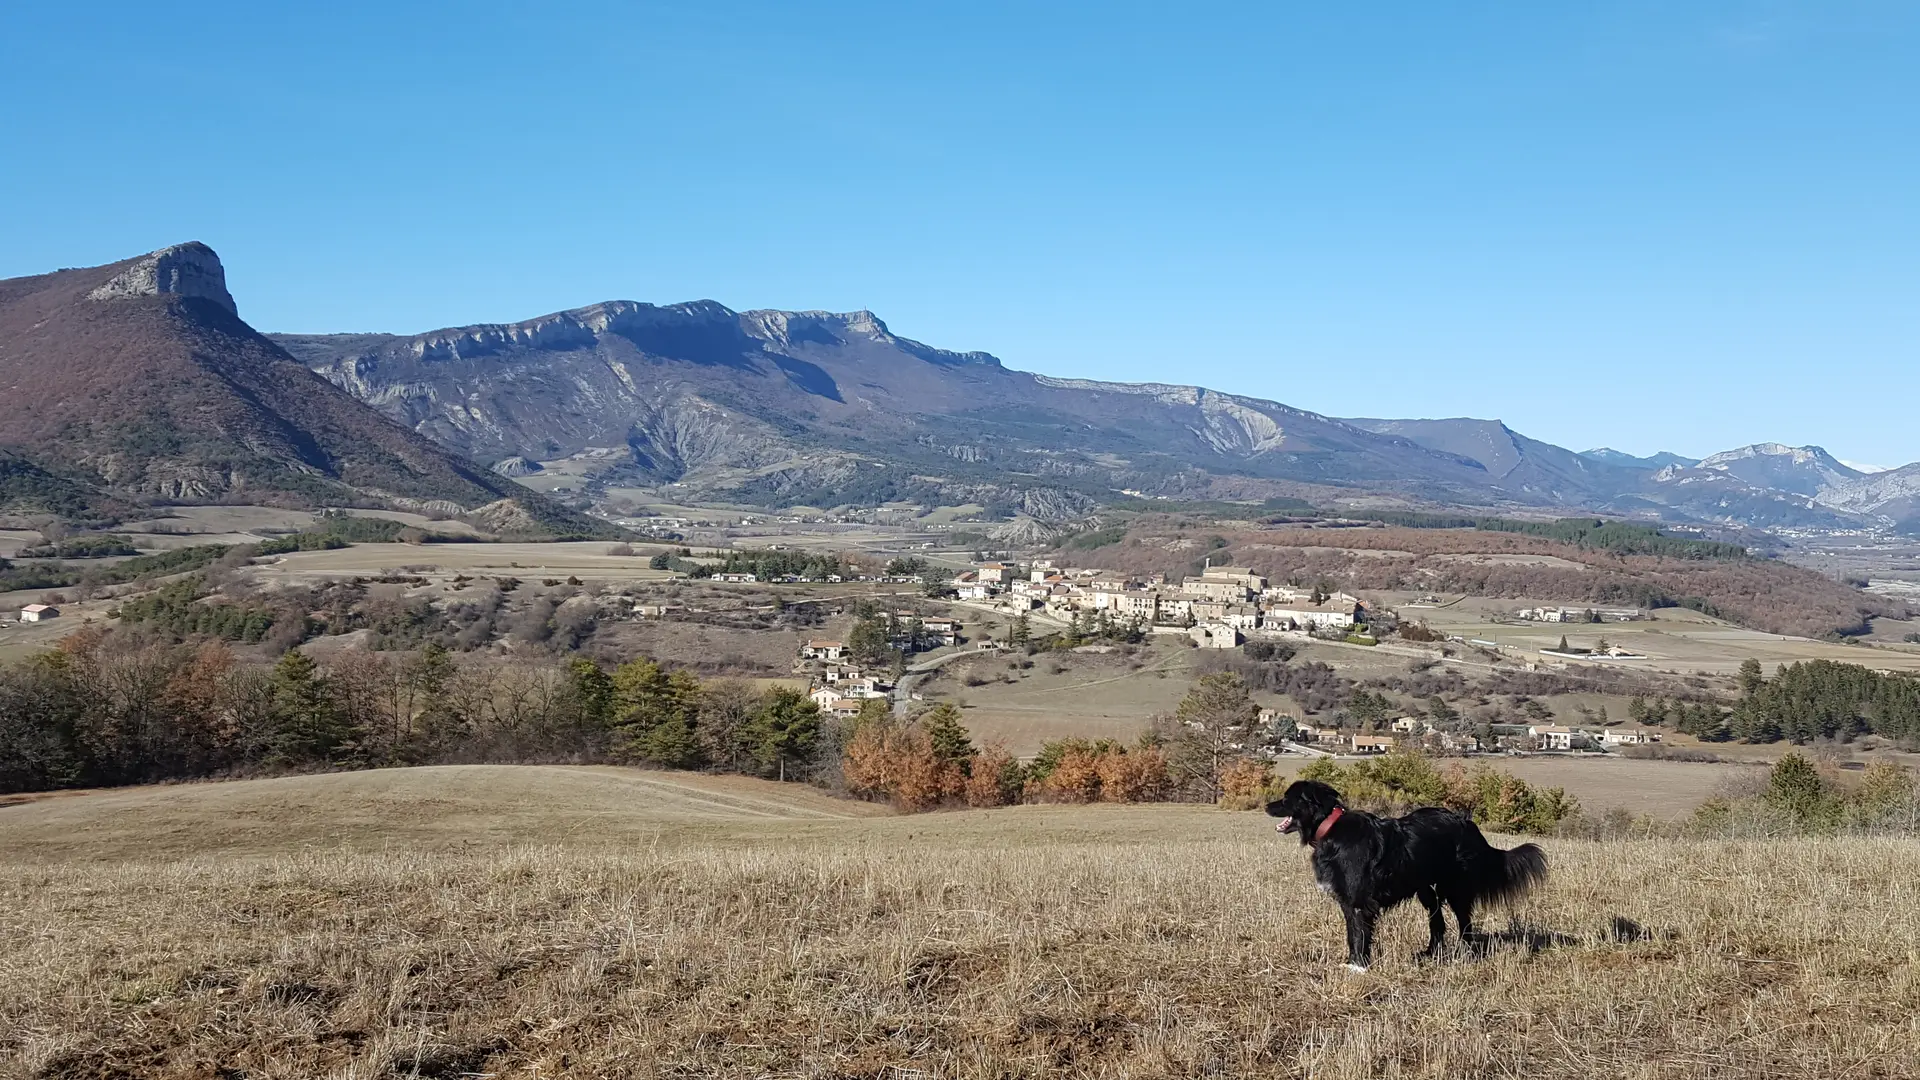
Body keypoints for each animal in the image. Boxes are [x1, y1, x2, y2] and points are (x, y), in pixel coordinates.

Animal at [1267, 772, 1551, 968]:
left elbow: (1359, 934)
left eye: (1286, 799)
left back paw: (1467, 953)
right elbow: (1351, 934)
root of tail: (1467, 823)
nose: (1267, 805)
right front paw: (1351, 962)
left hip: (1454, 887)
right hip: (1426, 889)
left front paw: (1359, 967)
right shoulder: (1347, 902)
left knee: (1465, 922)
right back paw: (1429, 953)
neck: (1331, 827)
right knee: (1437, 922)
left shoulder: (1359, 901)